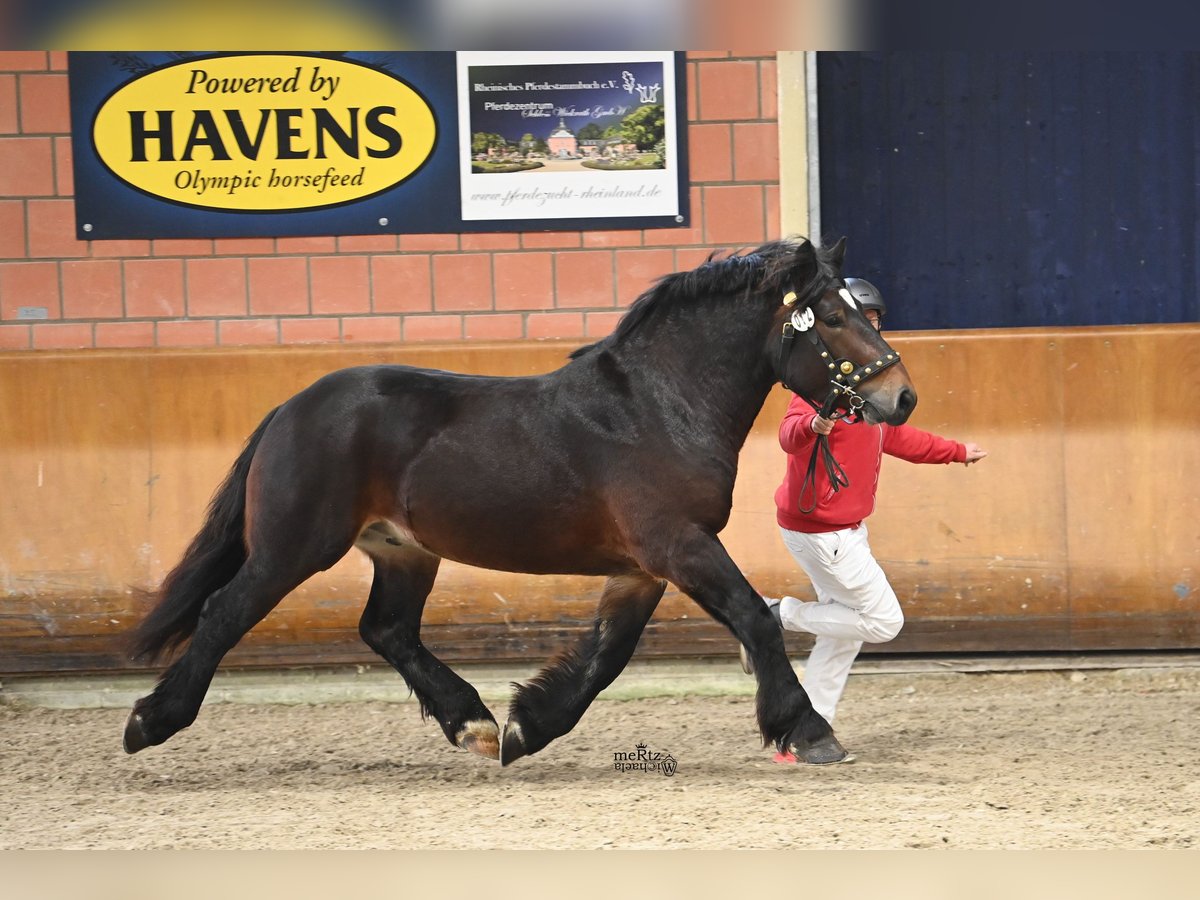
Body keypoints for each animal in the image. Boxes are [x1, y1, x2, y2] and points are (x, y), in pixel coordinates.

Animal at [122, 236, 917, 766]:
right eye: (834, 319)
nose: (901, 396)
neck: (658, 405)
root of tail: (289, 408)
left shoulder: (641, 569)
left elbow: (606, 657)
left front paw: (526, 725)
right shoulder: (679, 544)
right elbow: (753, 617)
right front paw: (809, 730)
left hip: (403, 551)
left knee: (387, 630)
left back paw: (470, 723)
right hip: (292, 549)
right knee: (224, 612)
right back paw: (150, 721)